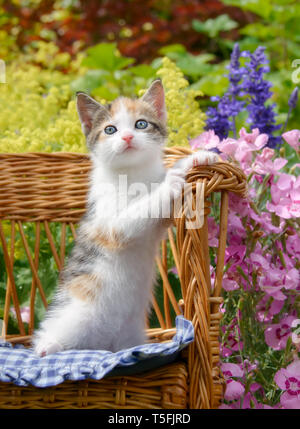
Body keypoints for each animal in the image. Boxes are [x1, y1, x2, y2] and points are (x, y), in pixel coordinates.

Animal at [32, 79, 218, 354]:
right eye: (110, 129)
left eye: (141, 124)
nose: (127, 137)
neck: (132, 173)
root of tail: (103, 344)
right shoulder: (111, 223)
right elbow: (136, 212)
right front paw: (172, 180)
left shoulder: (156, 224)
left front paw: (196, 157)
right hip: (74, 315)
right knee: (51, 336)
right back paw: (48, 347)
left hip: (130, 334)